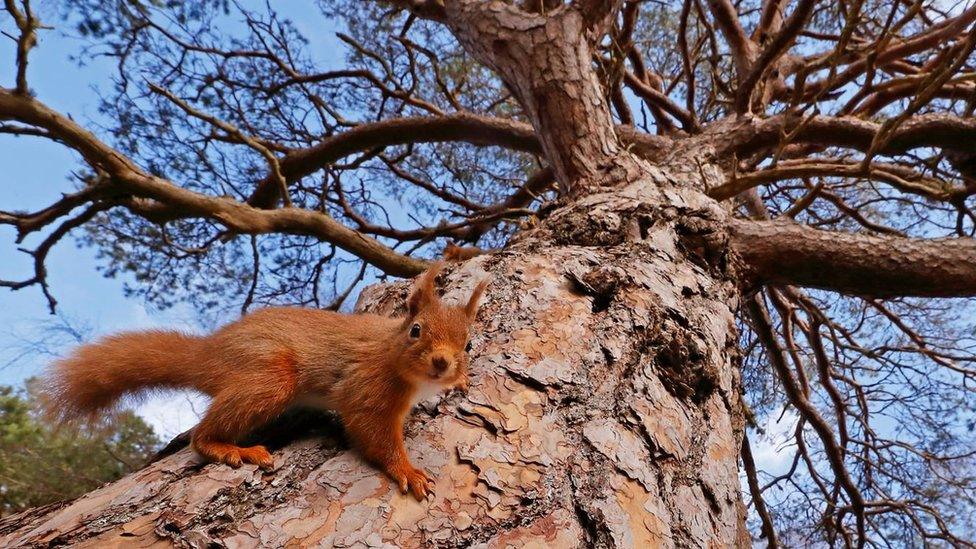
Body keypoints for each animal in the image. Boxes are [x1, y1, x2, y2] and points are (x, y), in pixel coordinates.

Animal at [43, 264, 486, 498]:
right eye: (415, 330)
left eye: (468, 343)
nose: (443, 362)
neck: (393, 352)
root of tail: (212, 353)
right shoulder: (368, 387)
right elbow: (372, 432)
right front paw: (408, 471)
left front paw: (461, 381)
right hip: (268, 377)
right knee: (201, 435)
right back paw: (228, 448)